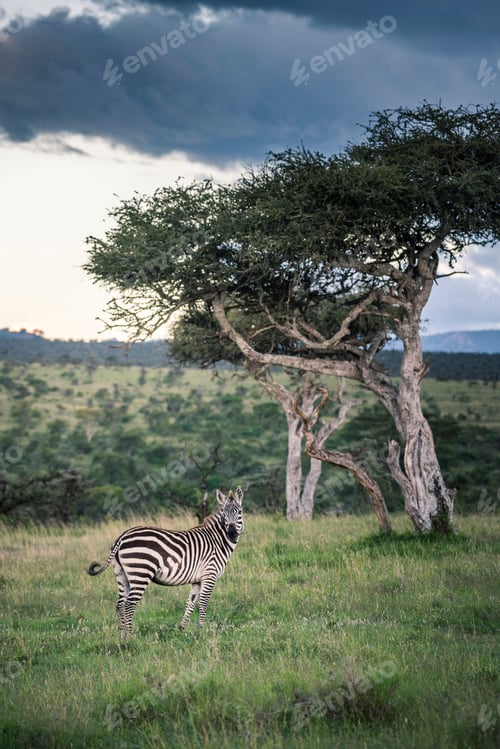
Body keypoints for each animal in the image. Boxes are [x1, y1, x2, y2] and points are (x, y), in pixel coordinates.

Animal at [87, 487, 244, 637]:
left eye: (239, 512)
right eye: (223, 514)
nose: (232, 534)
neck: (217, 540)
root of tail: (122, 536)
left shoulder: (197, 580)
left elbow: (191, 603)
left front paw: (182, 629)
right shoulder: (209, 575)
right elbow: (203, 603)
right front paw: (202, 631)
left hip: (121, 574)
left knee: (120, 605)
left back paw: (121, 636)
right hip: (140, 572)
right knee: (129, 605)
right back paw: (130, 636)